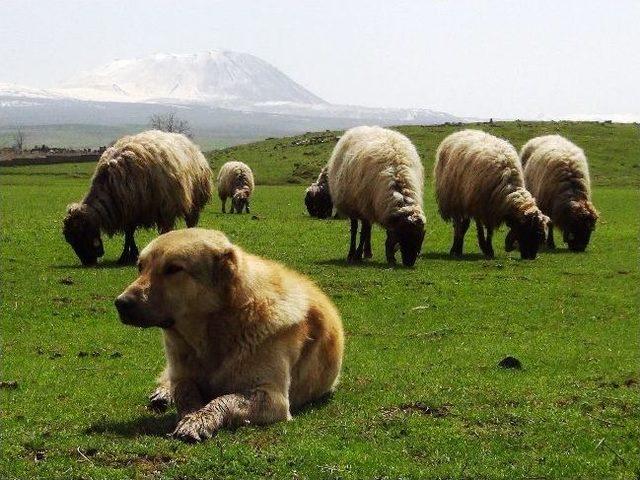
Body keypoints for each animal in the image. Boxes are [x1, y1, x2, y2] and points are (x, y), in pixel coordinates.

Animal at [62, 130, 212, 266]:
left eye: (80, 235)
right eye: (70, 240)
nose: (87, 262)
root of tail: (189, 143)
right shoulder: (129, 211)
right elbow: (129, 234)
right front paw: (127, 256)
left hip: (190, 201)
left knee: (189, 222)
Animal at [115, 229, 344, 442]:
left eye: (173, 269)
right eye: (140, 267)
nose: (121, 303)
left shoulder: (273, 398)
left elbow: (225, 399)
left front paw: (198, 419)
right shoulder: (182, 375)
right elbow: (184, 392)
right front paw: (191, 414)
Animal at [330, 124, 424, 266]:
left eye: (420, 239)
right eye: (405, 235)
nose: (409, 263)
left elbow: (381, 235)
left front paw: (390, 257)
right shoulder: (365, 205)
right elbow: (363, 232)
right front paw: (357, 255)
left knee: (367, 228)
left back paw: (367, 252)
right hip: (354, 204)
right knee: (355, 229)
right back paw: (352, 254)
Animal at [436, 129, 552, 260]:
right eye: (532, 233)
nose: (531, 257)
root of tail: (461, 132)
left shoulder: (491, 207)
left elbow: (490, 230)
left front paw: (489, 249)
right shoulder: (479, 205)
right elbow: (480, 229)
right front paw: (485, 248)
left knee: (463, 225)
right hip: (455, 199)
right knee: (458, 225)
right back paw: (456, 248)